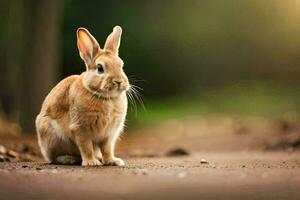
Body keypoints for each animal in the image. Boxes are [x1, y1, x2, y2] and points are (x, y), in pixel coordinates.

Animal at [35, 25, 129, 166]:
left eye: (121, 66)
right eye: (100, 68)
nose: (118, 81)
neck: (106, 98)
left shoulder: (109, 134)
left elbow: (107, 149)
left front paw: (113, 161)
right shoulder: (81, 129)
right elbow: (86, 147)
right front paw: (91, 162)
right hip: (52, 137)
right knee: (55, 158)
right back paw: (70, 159)